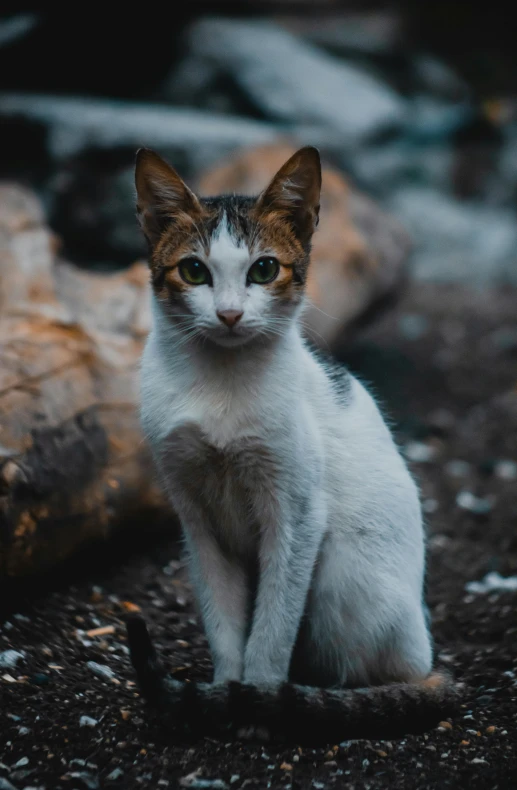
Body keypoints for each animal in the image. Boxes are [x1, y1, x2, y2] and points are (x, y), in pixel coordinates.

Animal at [127, 144, 458, 744]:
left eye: (263, 269)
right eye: (194, 270)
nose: (230, 314)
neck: (221, 384)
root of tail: (427, 653)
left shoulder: (298, 512)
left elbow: (273, 626)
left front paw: (257, 702)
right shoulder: (195, 518)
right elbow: (223, 620)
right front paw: (225, 693)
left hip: (344, 580)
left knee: (377, 670)